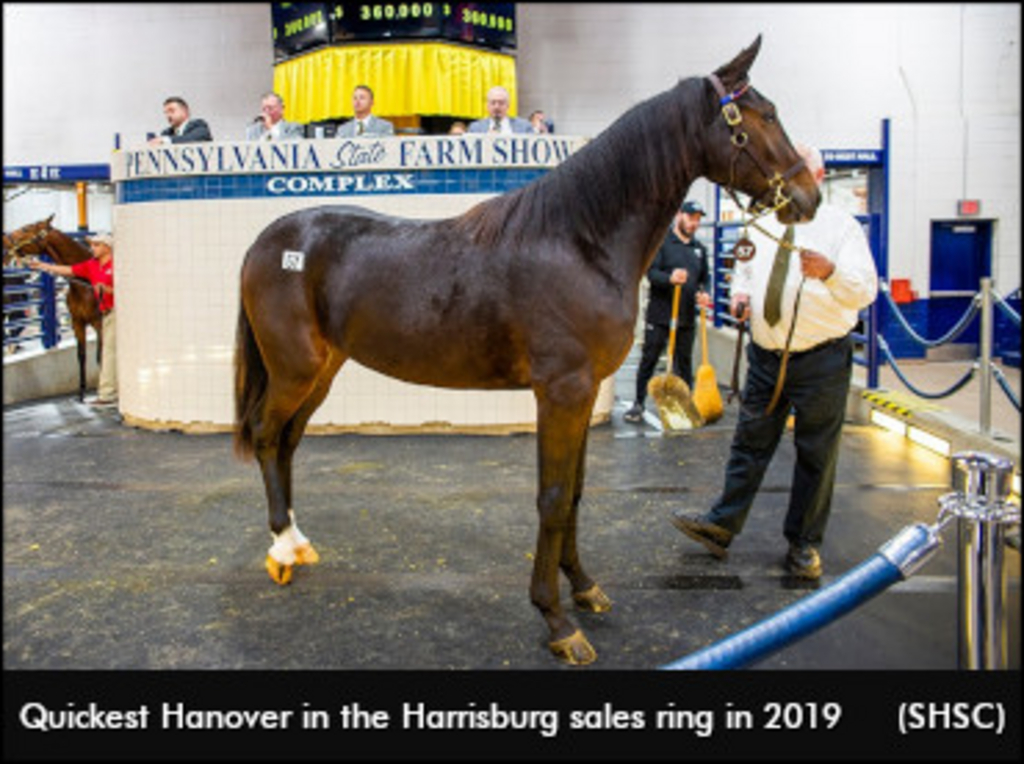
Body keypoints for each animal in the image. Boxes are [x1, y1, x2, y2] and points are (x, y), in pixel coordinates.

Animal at [2, 210, 102, 395]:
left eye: (26, 228)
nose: (4, 238)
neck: (84, 283)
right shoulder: (77, 322)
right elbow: (81, 355)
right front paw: (81, 393)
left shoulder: (100, 323)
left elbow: (101, 355)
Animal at [235, 38, 819, 663]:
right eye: (762, 115)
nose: (807, 196)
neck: (578, 243)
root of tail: (267, 241)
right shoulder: (561, 393)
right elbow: (554, 498)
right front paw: (557, 621)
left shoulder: (584, 395)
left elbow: (577, 495)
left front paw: (584, 587)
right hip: (294, 368)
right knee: (267, 437)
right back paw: (282, 549)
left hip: (321, 370)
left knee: (288, 443)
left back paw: (297, 542)